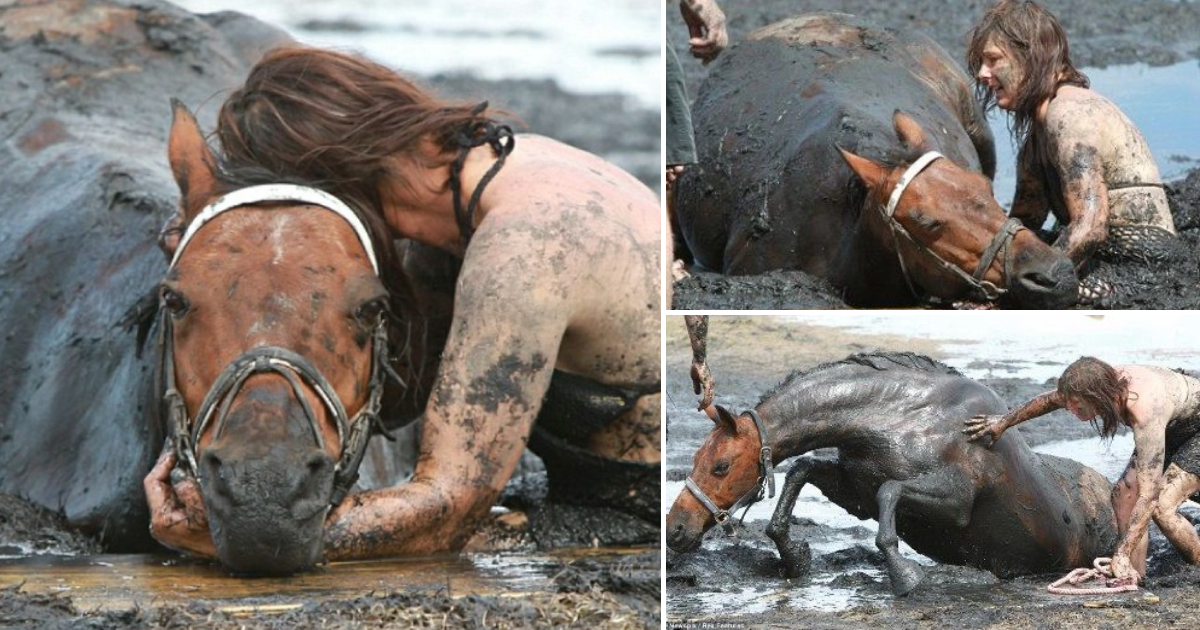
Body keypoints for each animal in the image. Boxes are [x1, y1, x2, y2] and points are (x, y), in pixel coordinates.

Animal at [667, 352, 1113, 595]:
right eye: (695, 459)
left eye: (721, 466)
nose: (675, 528)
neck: (901, 418)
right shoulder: (856, 492)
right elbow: (802, 469)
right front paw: (796, 557)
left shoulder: (956, 502)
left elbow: (891, 492)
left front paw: (905, 577)